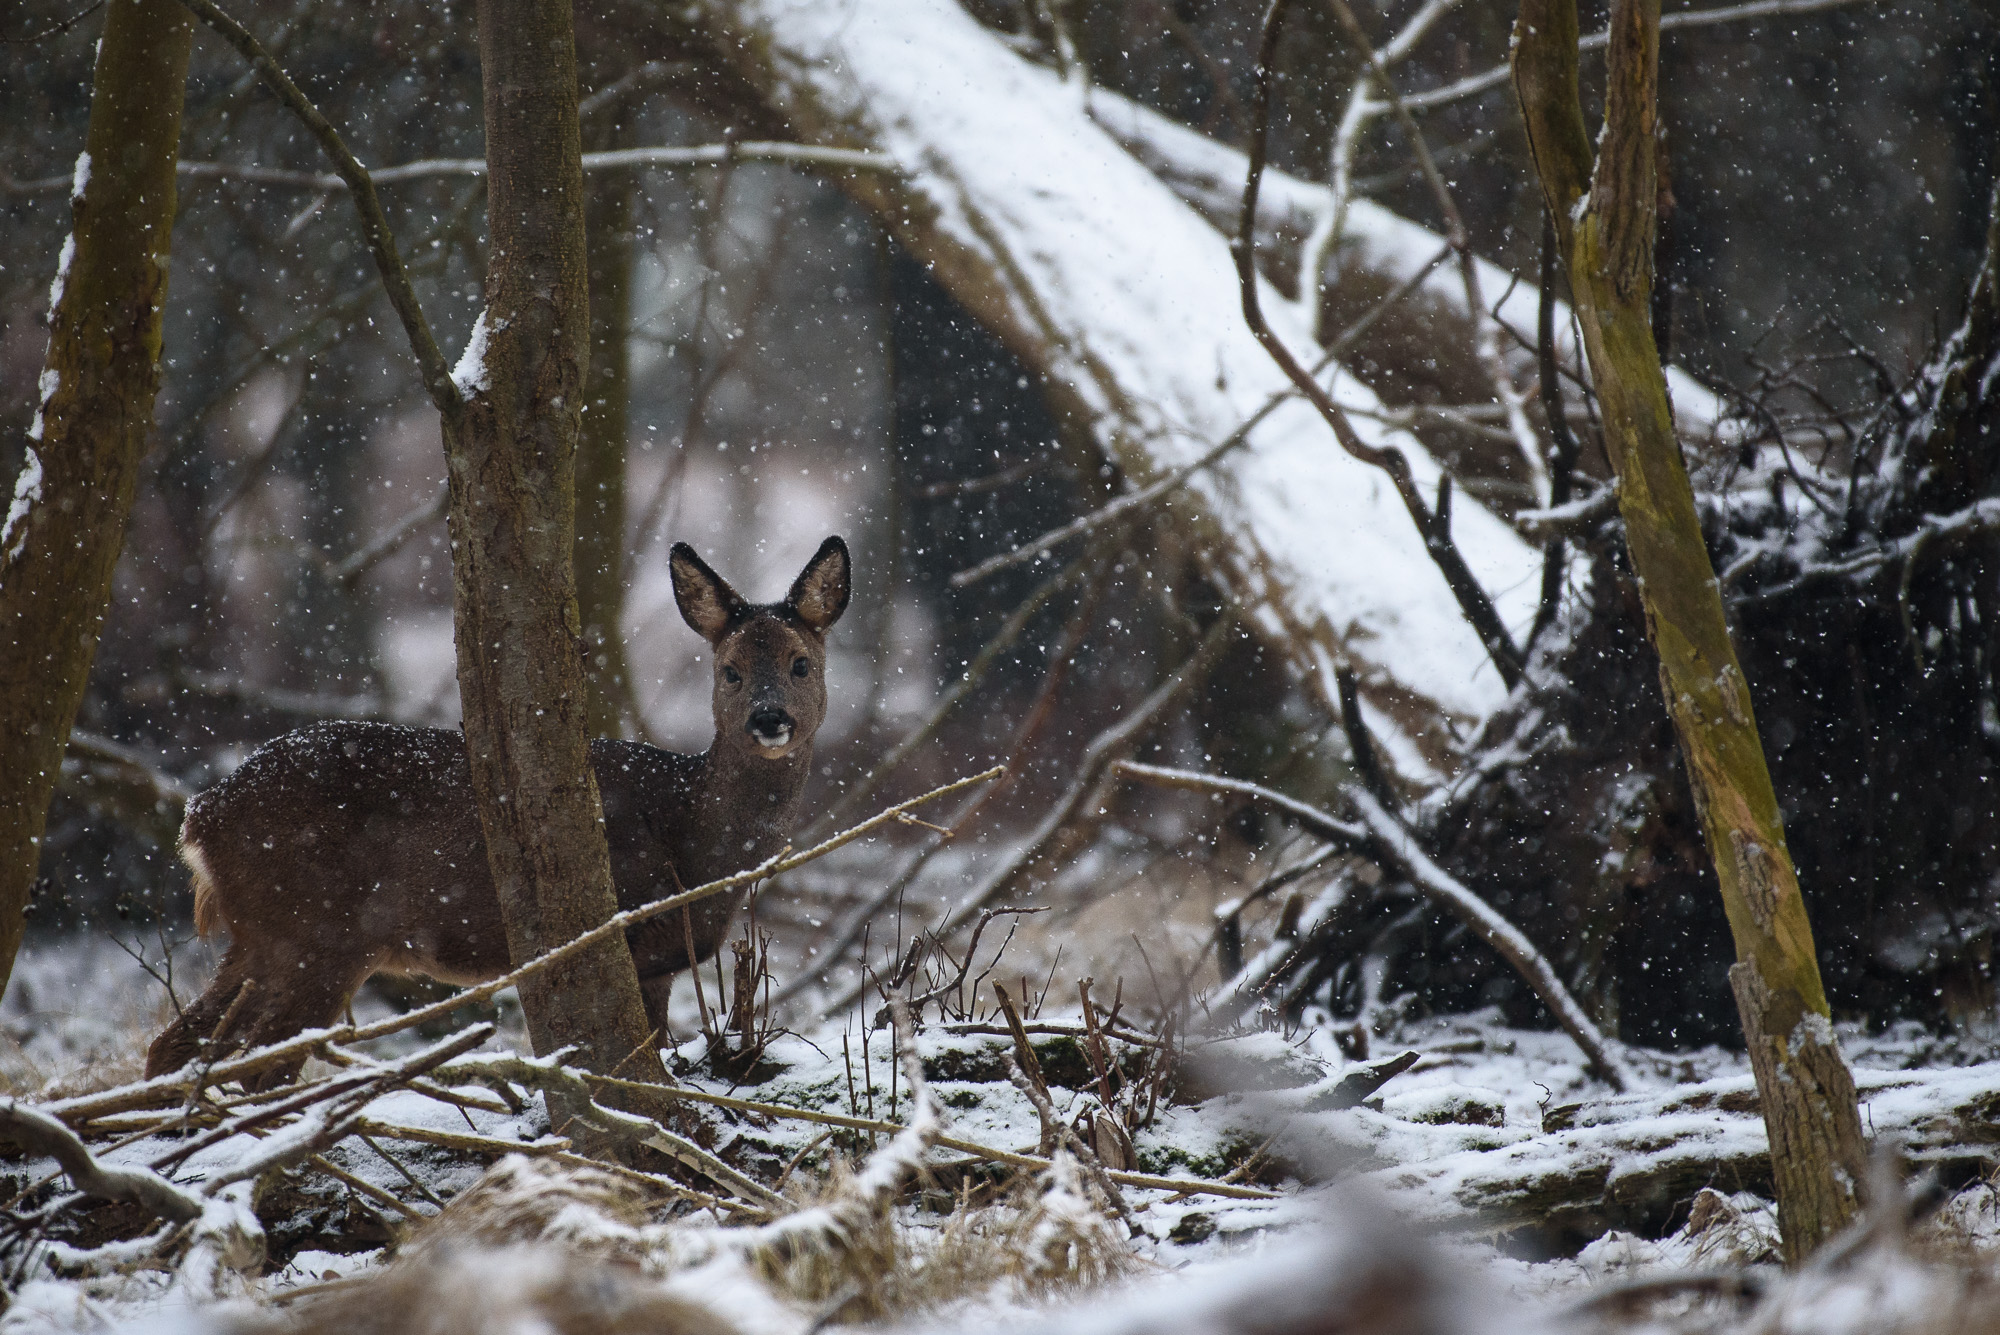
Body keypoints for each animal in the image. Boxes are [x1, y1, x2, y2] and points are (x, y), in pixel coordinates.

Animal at [144, 536, 850, 1083]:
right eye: (729, 670)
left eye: (801, 663)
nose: (769, 719)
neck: (690, 837)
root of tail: (199, 813)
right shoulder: (628, 934)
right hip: (316, 930)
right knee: (258, 1061)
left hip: (260, 936)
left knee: (177, 1045)